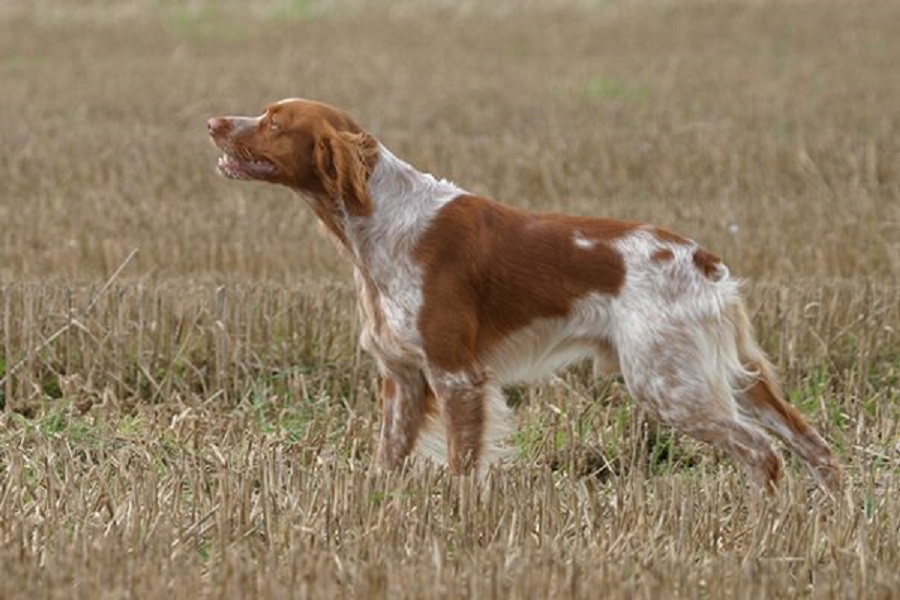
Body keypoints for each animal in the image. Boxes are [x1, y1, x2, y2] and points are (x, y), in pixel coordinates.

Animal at [207, 97, 840, 492]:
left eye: (274, 122)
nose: (213, 121)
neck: (380, 222)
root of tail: (703, 260)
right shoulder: (403, 378)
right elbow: (387, 459)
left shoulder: (457, 375)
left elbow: (463, 466)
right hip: (734, 377)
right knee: (814, 446)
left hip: (668, 383)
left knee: (763, 452)